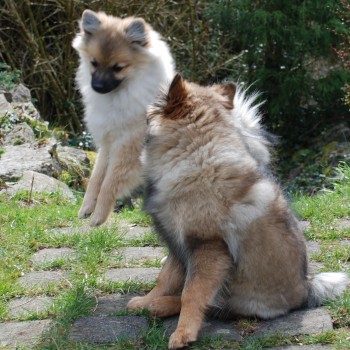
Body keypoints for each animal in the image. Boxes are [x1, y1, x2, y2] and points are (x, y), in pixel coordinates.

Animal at [127, 74, 348, 348]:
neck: (196, 152)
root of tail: (306, 289)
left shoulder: (208, 246)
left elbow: (192, 293)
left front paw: (183, 333)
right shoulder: (178, 244)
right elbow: (166, 278)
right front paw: (146, 300)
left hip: (240, 294)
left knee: (216, 305)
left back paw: (164, 307)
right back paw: (156, 305)